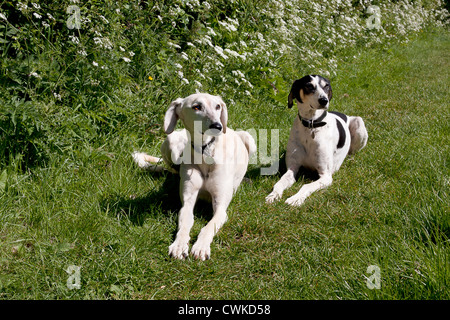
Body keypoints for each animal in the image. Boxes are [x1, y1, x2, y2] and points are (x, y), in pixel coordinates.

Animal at [132, 92, 255, 260]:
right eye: (197, 107)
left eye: (218, 106)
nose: (218, 126)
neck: (204, 152)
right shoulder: (187, 202)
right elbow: (184, 224)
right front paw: (179, 245)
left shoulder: (221, 208)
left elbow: (208, 227)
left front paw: (201, 247)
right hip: (170, 141)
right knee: (172, 168)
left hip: (249, 138)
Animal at [266, 74, 368, 206]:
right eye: (309, 86)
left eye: (326, 86)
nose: (324, 100)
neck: (311, 125)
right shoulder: (292, 168)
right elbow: (279, 183)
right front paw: (273, 195)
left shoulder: (326, 176)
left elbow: (306, 186)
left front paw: (296, 198)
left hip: (359, 123)